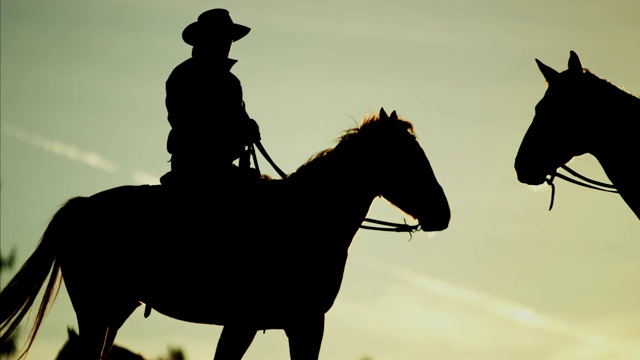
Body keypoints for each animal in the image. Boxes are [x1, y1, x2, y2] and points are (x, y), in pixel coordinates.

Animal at [0, 108, 450, 358]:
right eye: (408, 157)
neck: (307, 217)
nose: (443, 213)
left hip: (116, 310)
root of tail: (79, 207)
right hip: (96, 309)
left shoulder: (269, 325)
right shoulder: (293, 323)